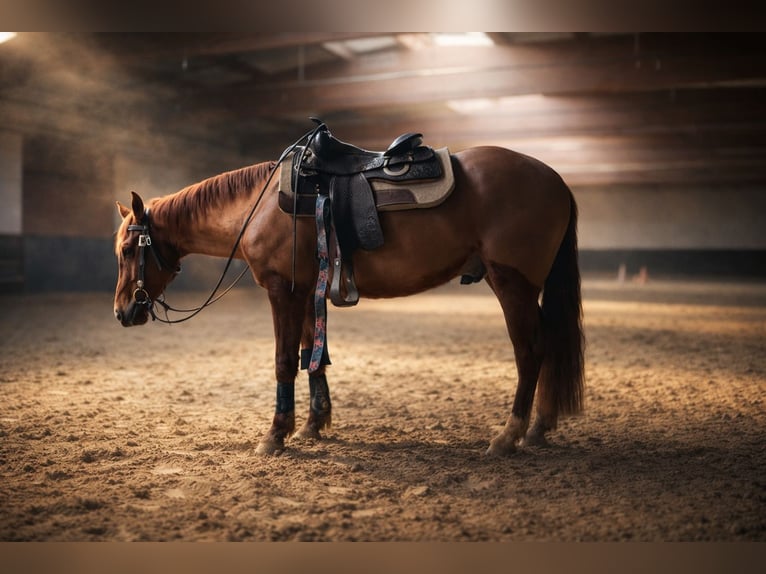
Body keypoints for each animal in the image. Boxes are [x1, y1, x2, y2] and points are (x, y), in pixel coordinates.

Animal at [113, 143, 584, 457]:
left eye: (127, 250)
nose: (122, 312)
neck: (258, 206)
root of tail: (556, 180)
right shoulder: (306, 291)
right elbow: (312, 355)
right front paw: (313, 424)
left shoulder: (282, 290)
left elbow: (285, 360)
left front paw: (275, 435)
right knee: (548, 345)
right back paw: (540, 427)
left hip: (513, 284)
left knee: (530, 351)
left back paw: (508, 436)